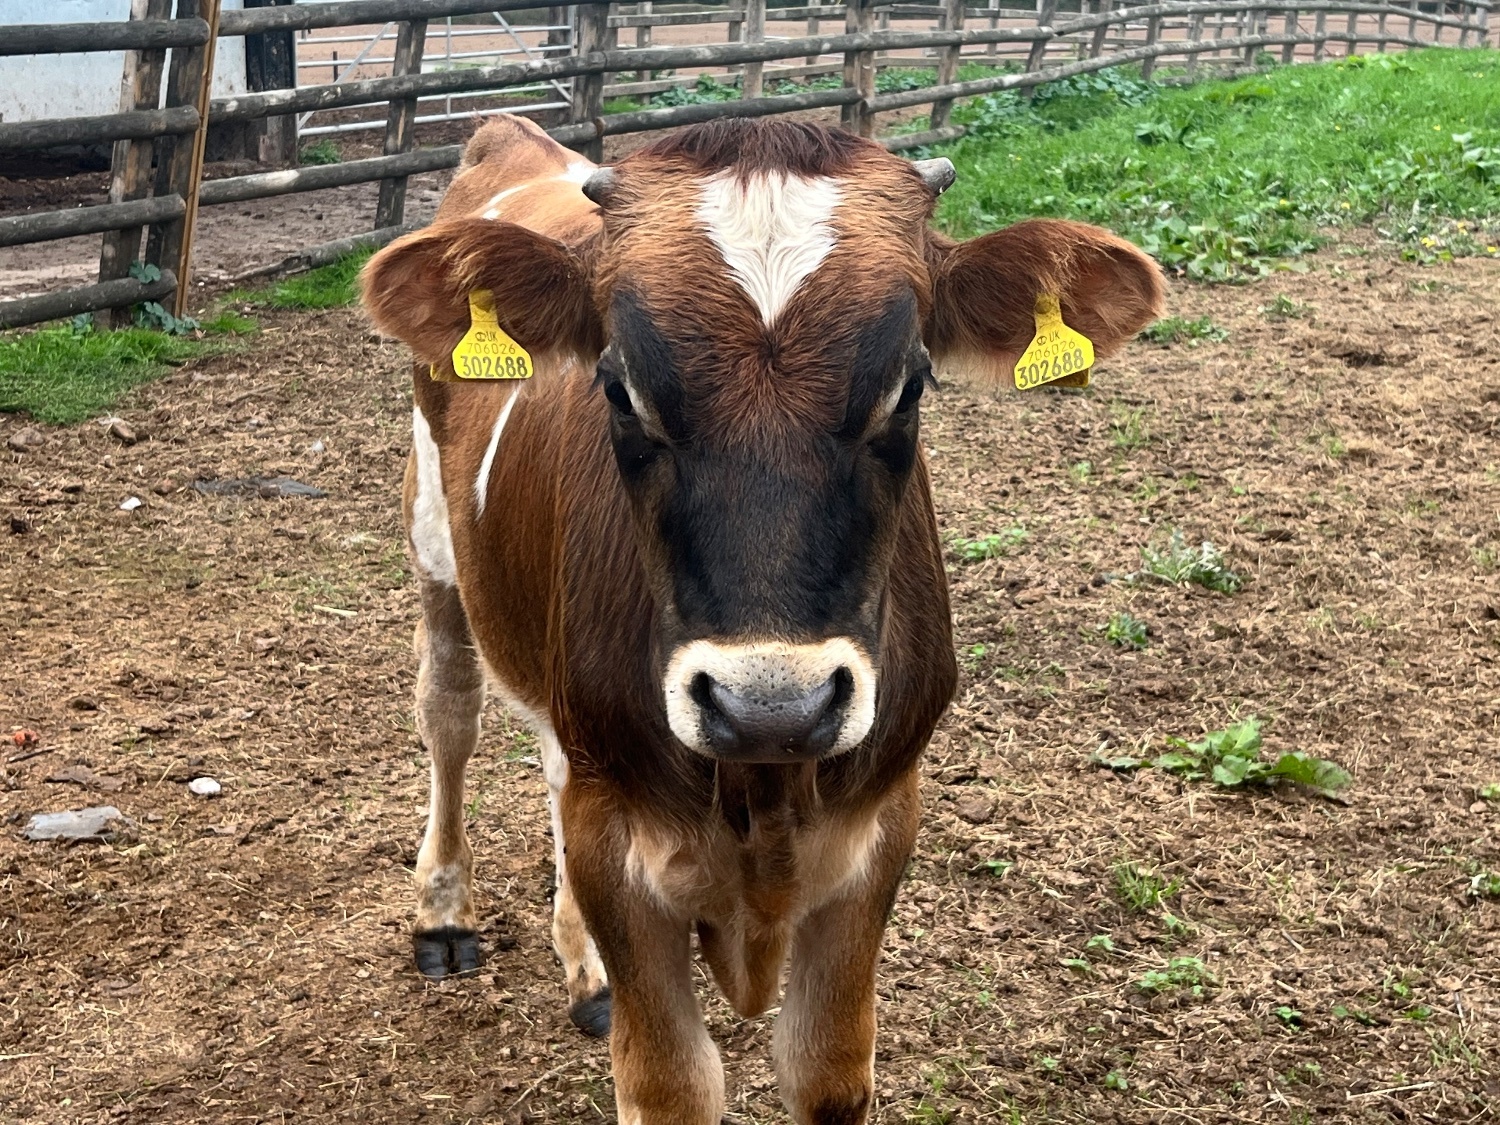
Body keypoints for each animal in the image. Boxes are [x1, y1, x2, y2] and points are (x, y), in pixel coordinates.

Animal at [361, 114, 1162, 1125]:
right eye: (618, 387)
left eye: (911, 386)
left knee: (545, 754)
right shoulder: (617, 838)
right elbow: (668, 1084)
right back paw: (443, 912)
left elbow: (827, 1070)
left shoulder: (880, 827)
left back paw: (583, 967)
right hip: (433, 535)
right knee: (449, 712)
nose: (771, 709)